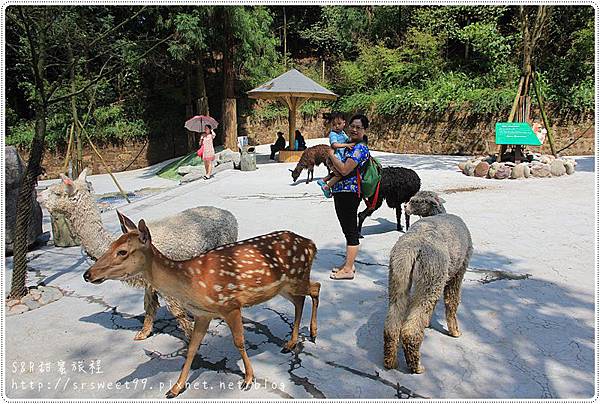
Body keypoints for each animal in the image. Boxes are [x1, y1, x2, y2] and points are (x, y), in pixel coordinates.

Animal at [83, 211, 324, 398]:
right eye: (111, 245)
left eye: (122, 251)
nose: (88, 274)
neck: (191, 283)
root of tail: (311, 244)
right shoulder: (203, 314)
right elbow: (191, 348)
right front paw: (175, 388)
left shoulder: (230, 304)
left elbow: (239, 342)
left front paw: (248, 378)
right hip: (284, 286)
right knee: (302, 298)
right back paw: (291, 343)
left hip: (296, 277)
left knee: (316, 287)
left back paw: (312, 333)